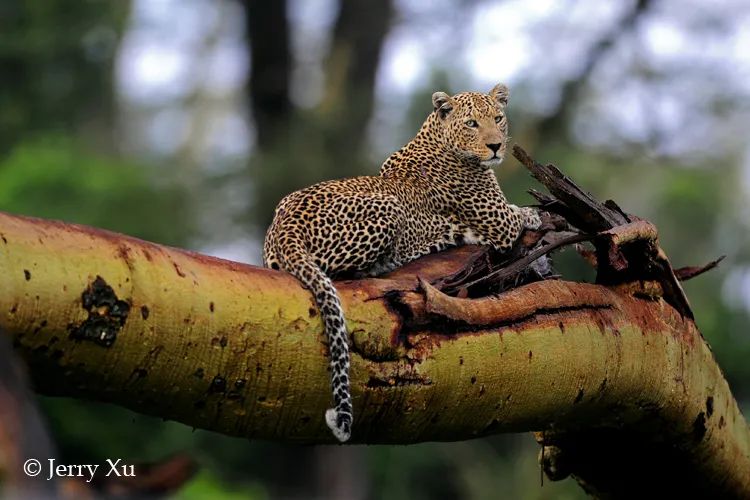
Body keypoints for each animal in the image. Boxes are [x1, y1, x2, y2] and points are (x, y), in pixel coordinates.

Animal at [262, 84, 540, 444]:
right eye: (472, 124)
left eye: (498, 118)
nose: (495, 146)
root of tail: (286, 223)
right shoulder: (501, 224)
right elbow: (521, 213)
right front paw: (534, 214)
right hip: (388, 207)